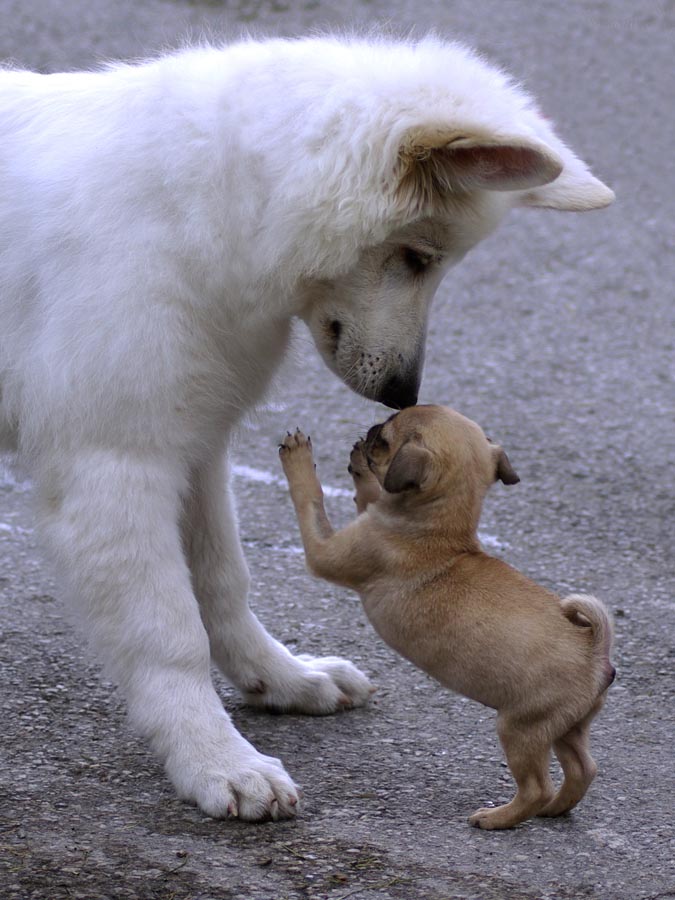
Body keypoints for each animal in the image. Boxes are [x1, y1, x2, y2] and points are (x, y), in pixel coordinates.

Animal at [278, 406, 616, 828]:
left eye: (384, 440)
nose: (369, 431)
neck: (442, 527)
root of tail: (595, 652)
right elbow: (372, 494)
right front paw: (358, 470)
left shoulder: (326, 551)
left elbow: (311, 499)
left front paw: (299, 458)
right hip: (568, 727)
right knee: (583, 769)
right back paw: (555, 809)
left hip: (521, 727)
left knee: (537, 786)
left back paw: (497, 818)